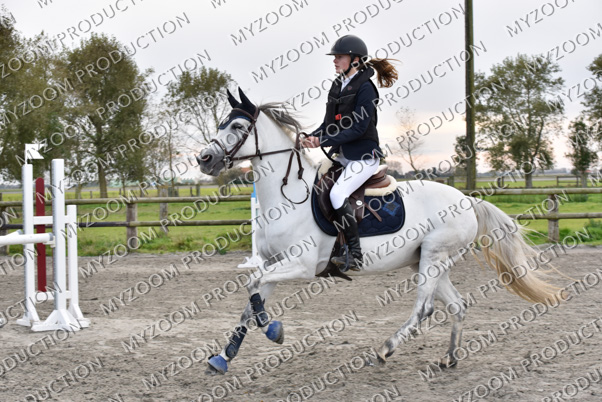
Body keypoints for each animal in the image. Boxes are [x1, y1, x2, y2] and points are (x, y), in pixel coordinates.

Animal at [196, 87, 562, 375]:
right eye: (221, 124)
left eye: (238, 126)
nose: (204, 158)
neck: (288, 197)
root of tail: (467, 200)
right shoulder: (275, 264)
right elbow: (251, 297)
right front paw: (225, 356)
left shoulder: (300, 266)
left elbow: (252, 286)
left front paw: (273, 330)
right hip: (429, 261)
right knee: (457, 306)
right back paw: (449, 358)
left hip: (433, 257)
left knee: (424, 309)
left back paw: (385, 350)